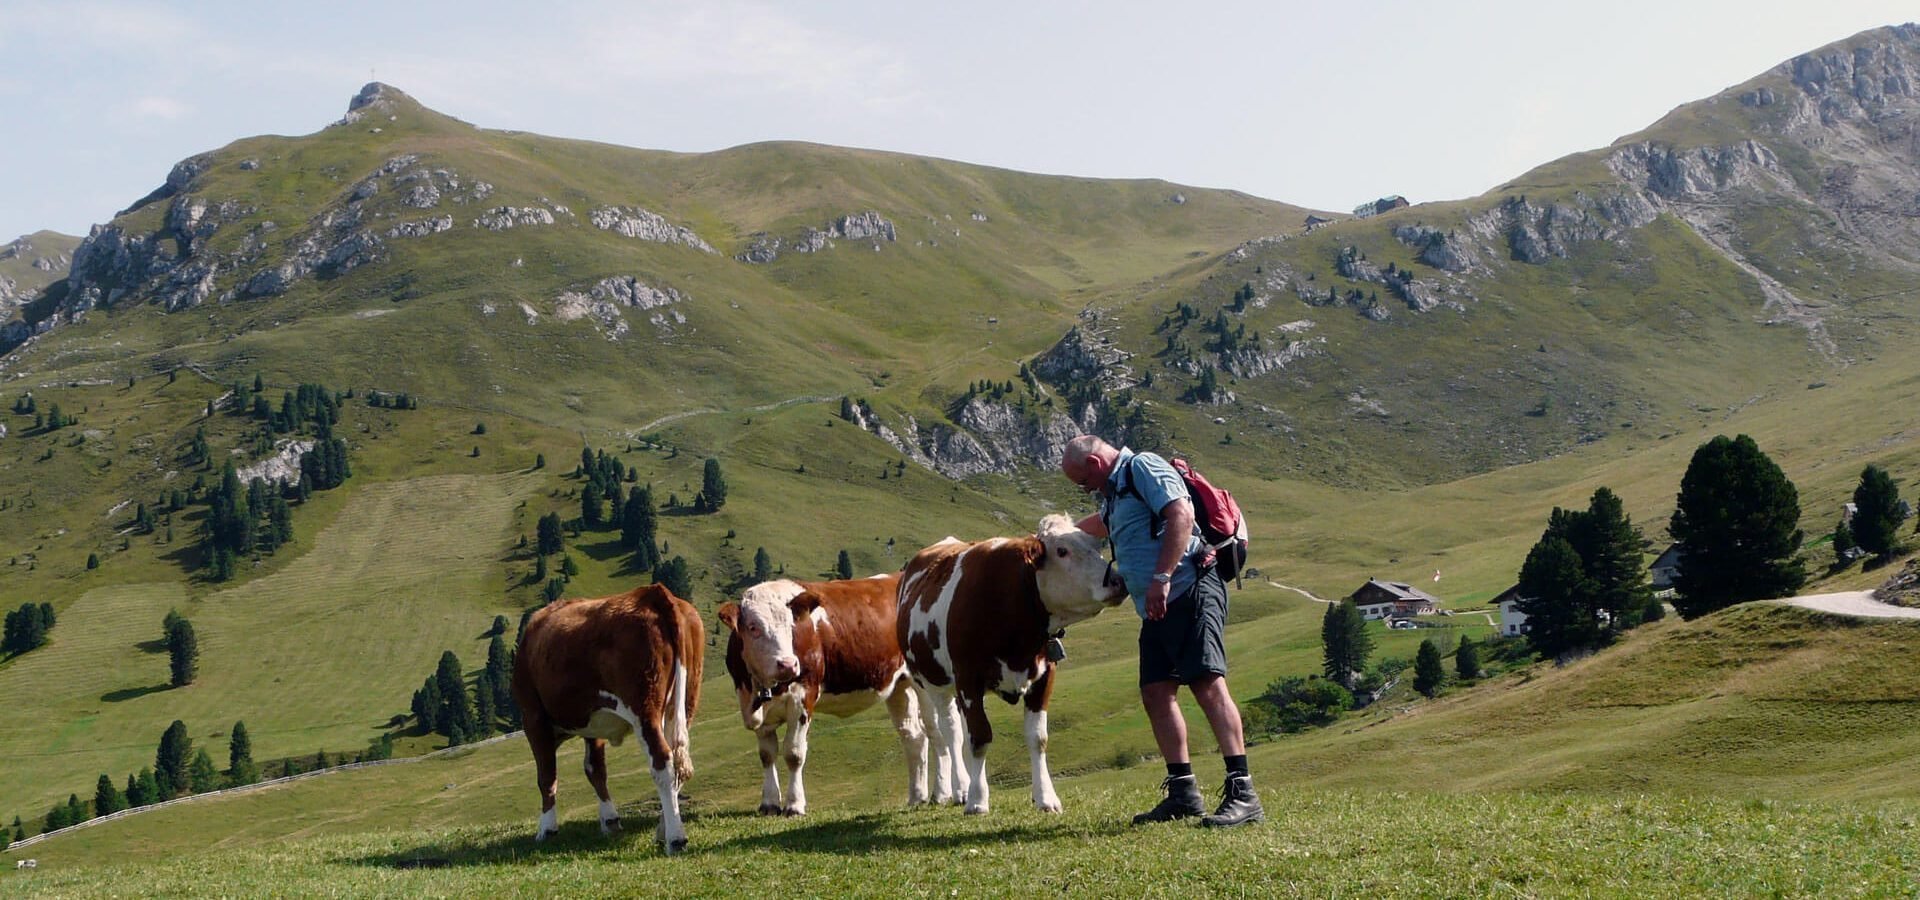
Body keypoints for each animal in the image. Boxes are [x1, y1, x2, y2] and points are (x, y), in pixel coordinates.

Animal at [514, 583, 710, 848]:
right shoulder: (593, 725)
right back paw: (663, 829)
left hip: (644, 708)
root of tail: (653, 593)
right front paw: (610, 820)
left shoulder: (533, 717)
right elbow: (595, 769)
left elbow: (546, 776)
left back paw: (675, 838)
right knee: (680, 762)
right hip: (686, 699)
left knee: (663, 762)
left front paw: (546, 829)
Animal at [721, 575, 929, 813]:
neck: (758, 689)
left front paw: (794, 805)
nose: (788, 664)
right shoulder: (759, 711)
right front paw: (769, 804)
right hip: (900, 687)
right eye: (753, 627)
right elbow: (766, 755)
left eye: (791, 626)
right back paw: (917, 797)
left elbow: (794, 753)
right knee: (914, 737)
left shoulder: (803, 697)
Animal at [894, 510, 1121, 813]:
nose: (1118, 581)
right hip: (931, 683)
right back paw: (958, 788)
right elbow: (980, 737)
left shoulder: (1044, 675)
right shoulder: (968, 678)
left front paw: (1045, 797)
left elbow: (1038, 738)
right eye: (1062, 551)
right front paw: (978, 800)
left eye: (1096, 546)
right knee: (950, 732)